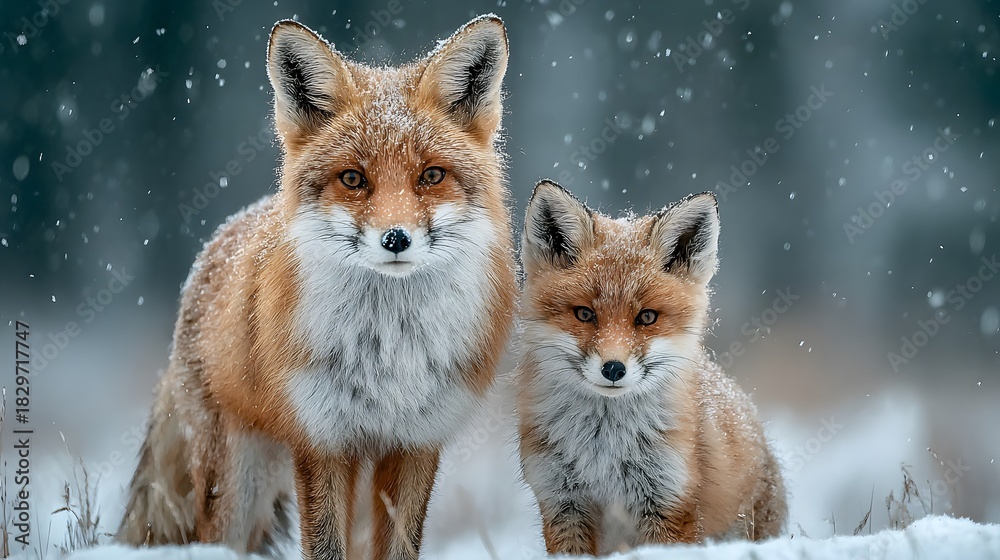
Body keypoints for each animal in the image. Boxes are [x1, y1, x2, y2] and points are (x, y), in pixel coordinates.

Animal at [117, 15, 516, 560]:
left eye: (432, 175)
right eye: (353, 179)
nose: (395, 238)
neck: (390, 352)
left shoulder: (416, 442)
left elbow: (399, 546)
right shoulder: (321, 440)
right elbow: (324, 546)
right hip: (238, 487)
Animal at [516, 181, 787, 555]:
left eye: (646, 317)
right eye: (584, 313)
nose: (613, 369)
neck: (606, 448)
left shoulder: (668, 502)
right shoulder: (562, 501)